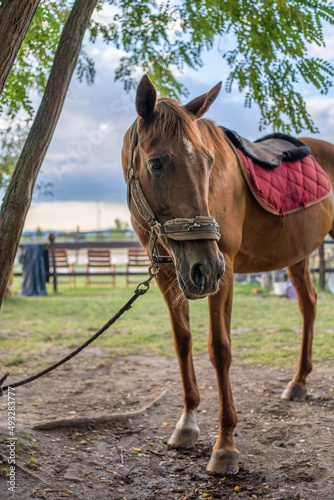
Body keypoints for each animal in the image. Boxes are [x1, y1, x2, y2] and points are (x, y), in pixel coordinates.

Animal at [121, 75, 334, 476]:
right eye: (156, 164)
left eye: (208, 161)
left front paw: (225, 446)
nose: (206, 267)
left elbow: (220, 349)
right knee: (309, 305)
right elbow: (182, 342)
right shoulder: (168, 273)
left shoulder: (227, 270)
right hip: (298, 255)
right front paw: (187, 422)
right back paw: (298, 382)